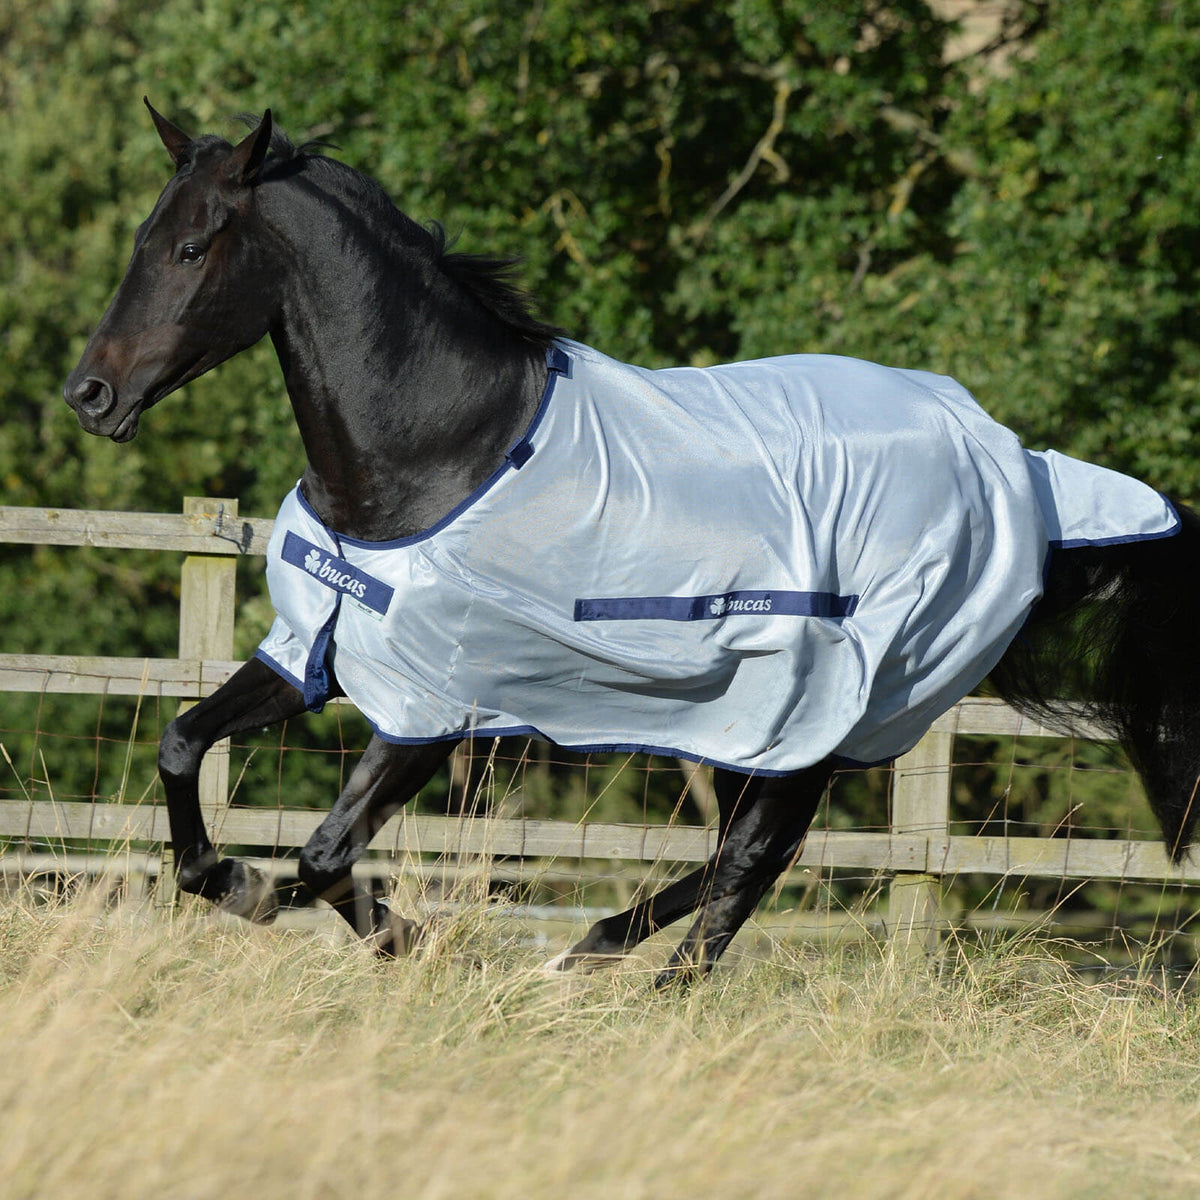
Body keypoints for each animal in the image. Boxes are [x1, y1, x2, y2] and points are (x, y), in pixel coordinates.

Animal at [64, 103, 1200, 987]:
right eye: (141, 238)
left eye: (195, 247)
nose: (91, 395)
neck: (442, 448)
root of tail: (1019, 465)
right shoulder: (321, 652)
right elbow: (182, 745)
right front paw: (232, 883)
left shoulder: (432, 707)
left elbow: (325, 854)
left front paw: (414, 945)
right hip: (762, 722)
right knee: (745, 853)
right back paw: (592, 953)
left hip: (824, 713)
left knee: (752, 861)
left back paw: (627, 984)